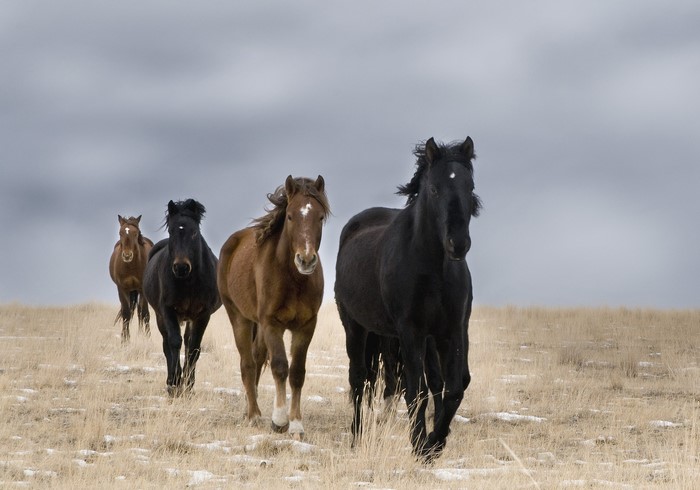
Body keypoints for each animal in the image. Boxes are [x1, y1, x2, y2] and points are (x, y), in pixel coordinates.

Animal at [109, 215, 154, 343]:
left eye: (135, 233)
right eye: (120, 233)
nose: (127, 255)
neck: (131, 266)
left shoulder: (142, 289)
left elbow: (144, 313)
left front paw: (147, 338)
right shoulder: (122, 289)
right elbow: (126, 314)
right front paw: (125, 340)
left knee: (140, 312)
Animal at [143, 199, 221, 397]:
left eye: (194, 232)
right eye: (171, 231)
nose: (181, 267)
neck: (189, 282)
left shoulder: (203, 314)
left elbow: (193, 348)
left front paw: (189, 384)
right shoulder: (168, 310)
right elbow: (174, 343)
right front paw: (175, 383)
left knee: (187, 342)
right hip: (161, 316)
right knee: (167, 344)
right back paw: (172, 380)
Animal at [217, 175, 329, 439]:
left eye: (320, 217)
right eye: (289, 216)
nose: (306, 260)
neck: (293, 279)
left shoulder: (306, 326)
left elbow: (297, 372)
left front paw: (296, 424)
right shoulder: (272, 324)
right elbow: (280, 366)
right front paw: (279, 421)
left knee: (257, 359)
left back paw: (251, 407)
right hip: (239, 317)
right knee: (247, 363)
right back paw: (253, 414)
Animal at [334, 136, 481, 461]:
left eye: (470, 187)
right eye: (435, 189)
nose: (458, 244)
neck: (432, 268)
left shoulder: (453, 330)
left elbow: (454, 387)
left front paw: (435, 443)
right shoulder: (410, 331)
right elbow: (417, 391)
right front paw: (419, 444)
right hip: (356, 328)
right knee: (359, 379)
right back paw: (356, 437)